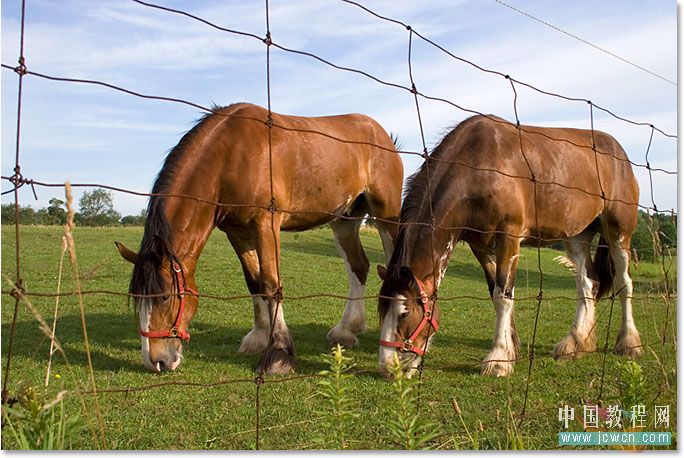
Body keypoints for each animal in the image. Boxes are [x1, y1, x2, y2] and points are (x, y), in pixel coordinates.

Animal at [113, 102, 400, 374]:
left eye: (164, 297)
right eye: (137, 298)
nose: (156, 361)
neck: (230, 157)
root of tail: (382, 134)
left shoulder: (266, 225)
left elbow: (271, 283)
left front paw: (280, 353)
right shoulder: (237, 233)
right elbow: (254, 282)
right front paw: (260, 337)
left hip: (387, 215)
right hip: (344, 221)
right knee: (358, 266)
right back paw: (347, 330)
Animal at [380, 115, 640, 380]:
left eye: (404, 313)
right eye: (380, 309)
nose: (389, 368)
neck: (478, 167)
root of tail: (618, 152)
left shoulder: (509, 237)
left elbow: (503, 295)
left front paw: (498, 359)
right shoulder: (480, 245)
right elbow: (495, 291)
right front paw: (510, 345)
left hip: (619, 233)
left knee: (624, 283)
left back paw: (629, 343)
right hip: (577, 237)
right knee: (588, 284)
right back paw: (575, 343)